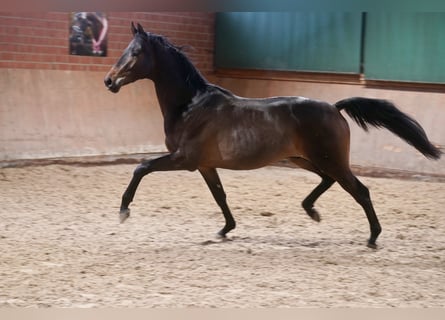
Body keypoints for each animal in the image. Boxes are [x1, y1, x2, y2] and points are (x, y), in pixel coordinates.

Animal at [104, 22, 440, 249]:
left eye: (135, 53)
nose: (109, 81)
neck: (191, 105)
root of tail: (334, 107)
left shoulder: (184, 159)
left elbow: (141, 168)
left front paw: (123, 211)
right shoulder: (205, 165)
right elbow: (220, 195)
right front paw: (225, 229)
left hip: (329, 160)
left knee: (360, 190)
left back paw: (371, 237)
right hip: (304, 159)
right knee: (329, 181)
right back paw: (312, 211)